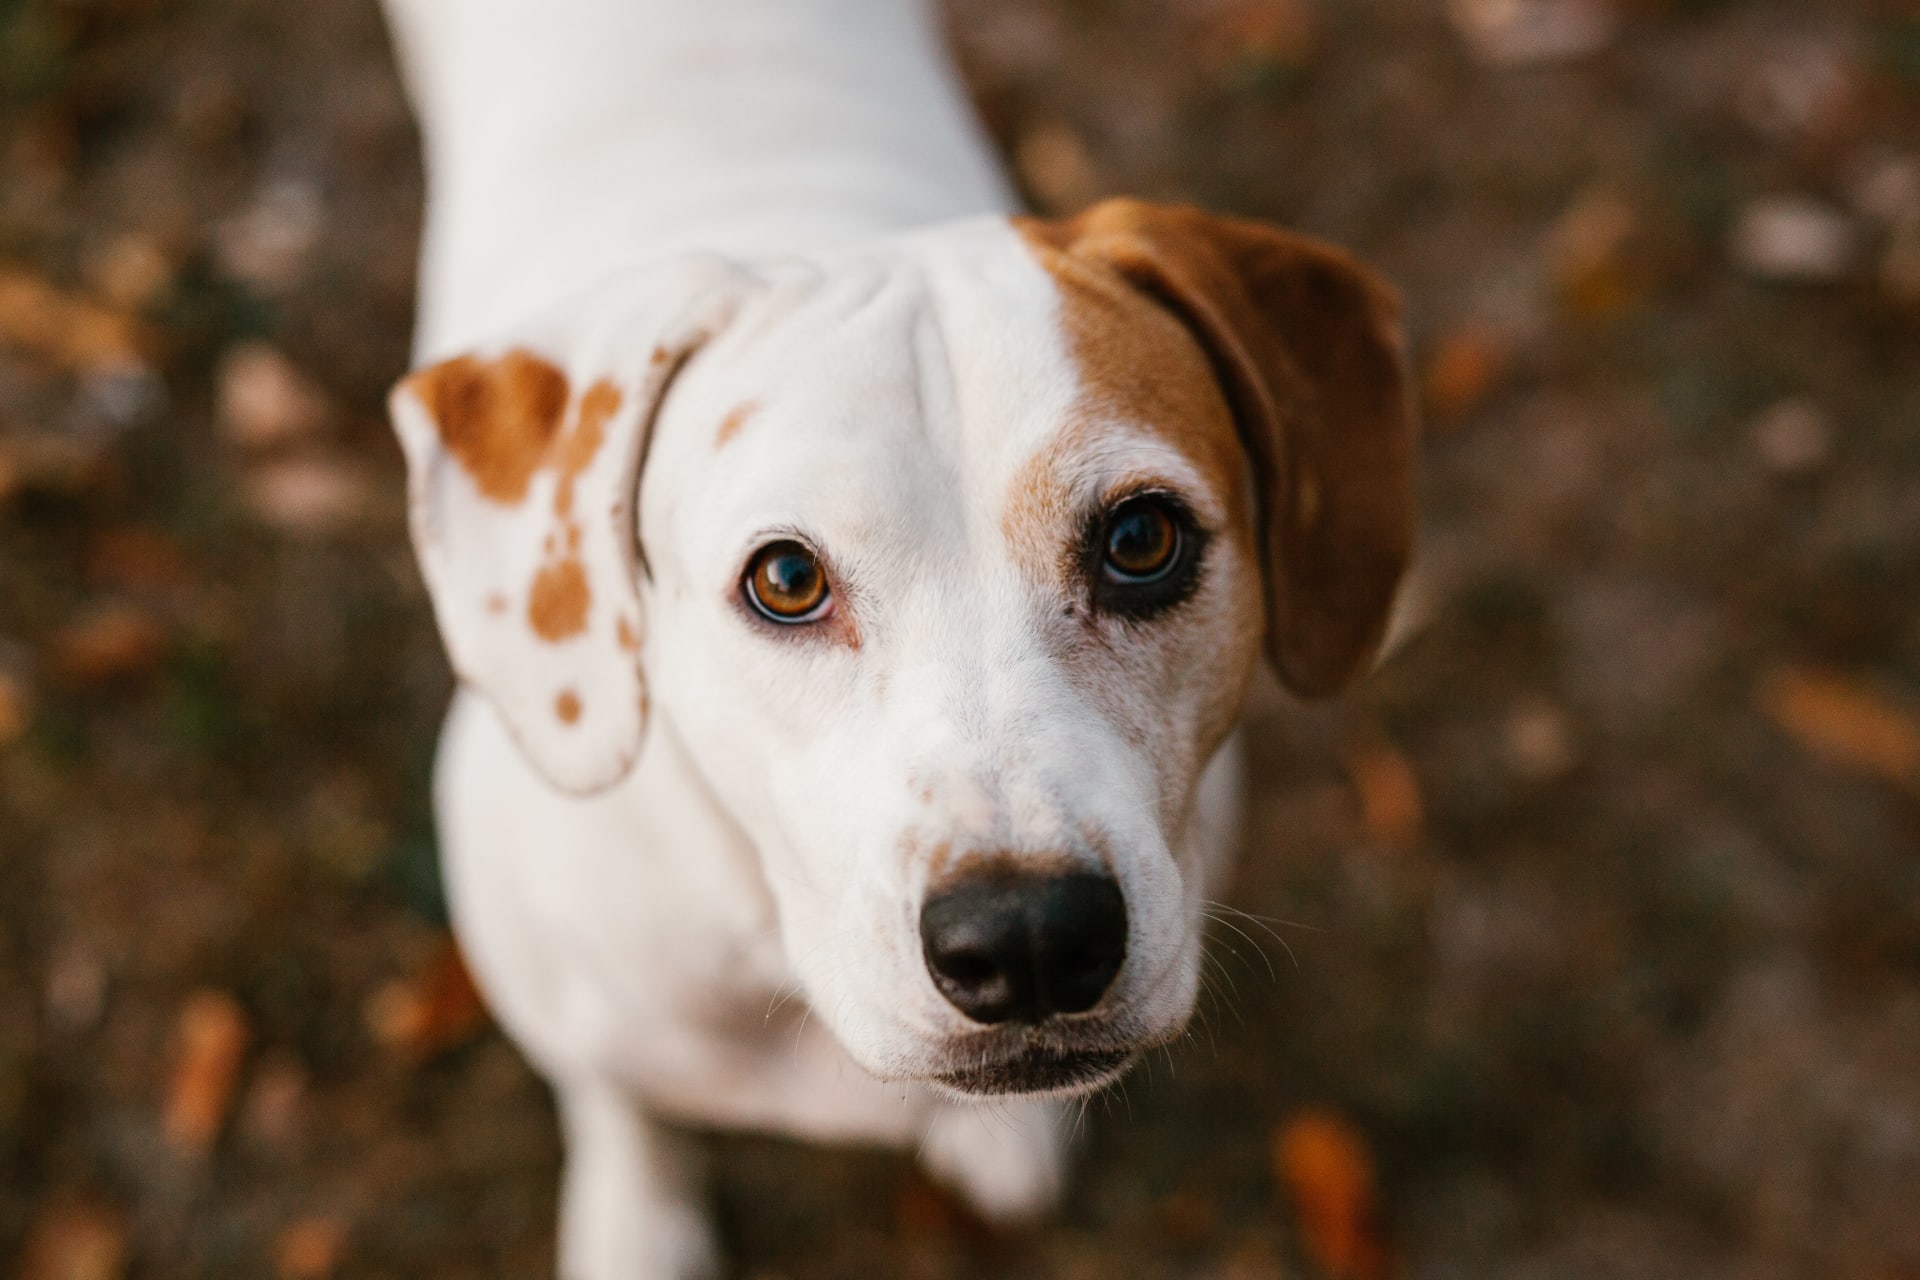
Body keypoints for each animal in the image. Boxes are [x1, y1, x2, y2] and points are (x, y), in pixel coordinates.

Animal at [382, 0, 1420, 1274]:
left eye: (1141, 538)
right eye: (786, 578)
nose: (1029, 936)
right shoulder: (564, 997)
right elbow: (621, 1104)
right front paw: (637, 1219)